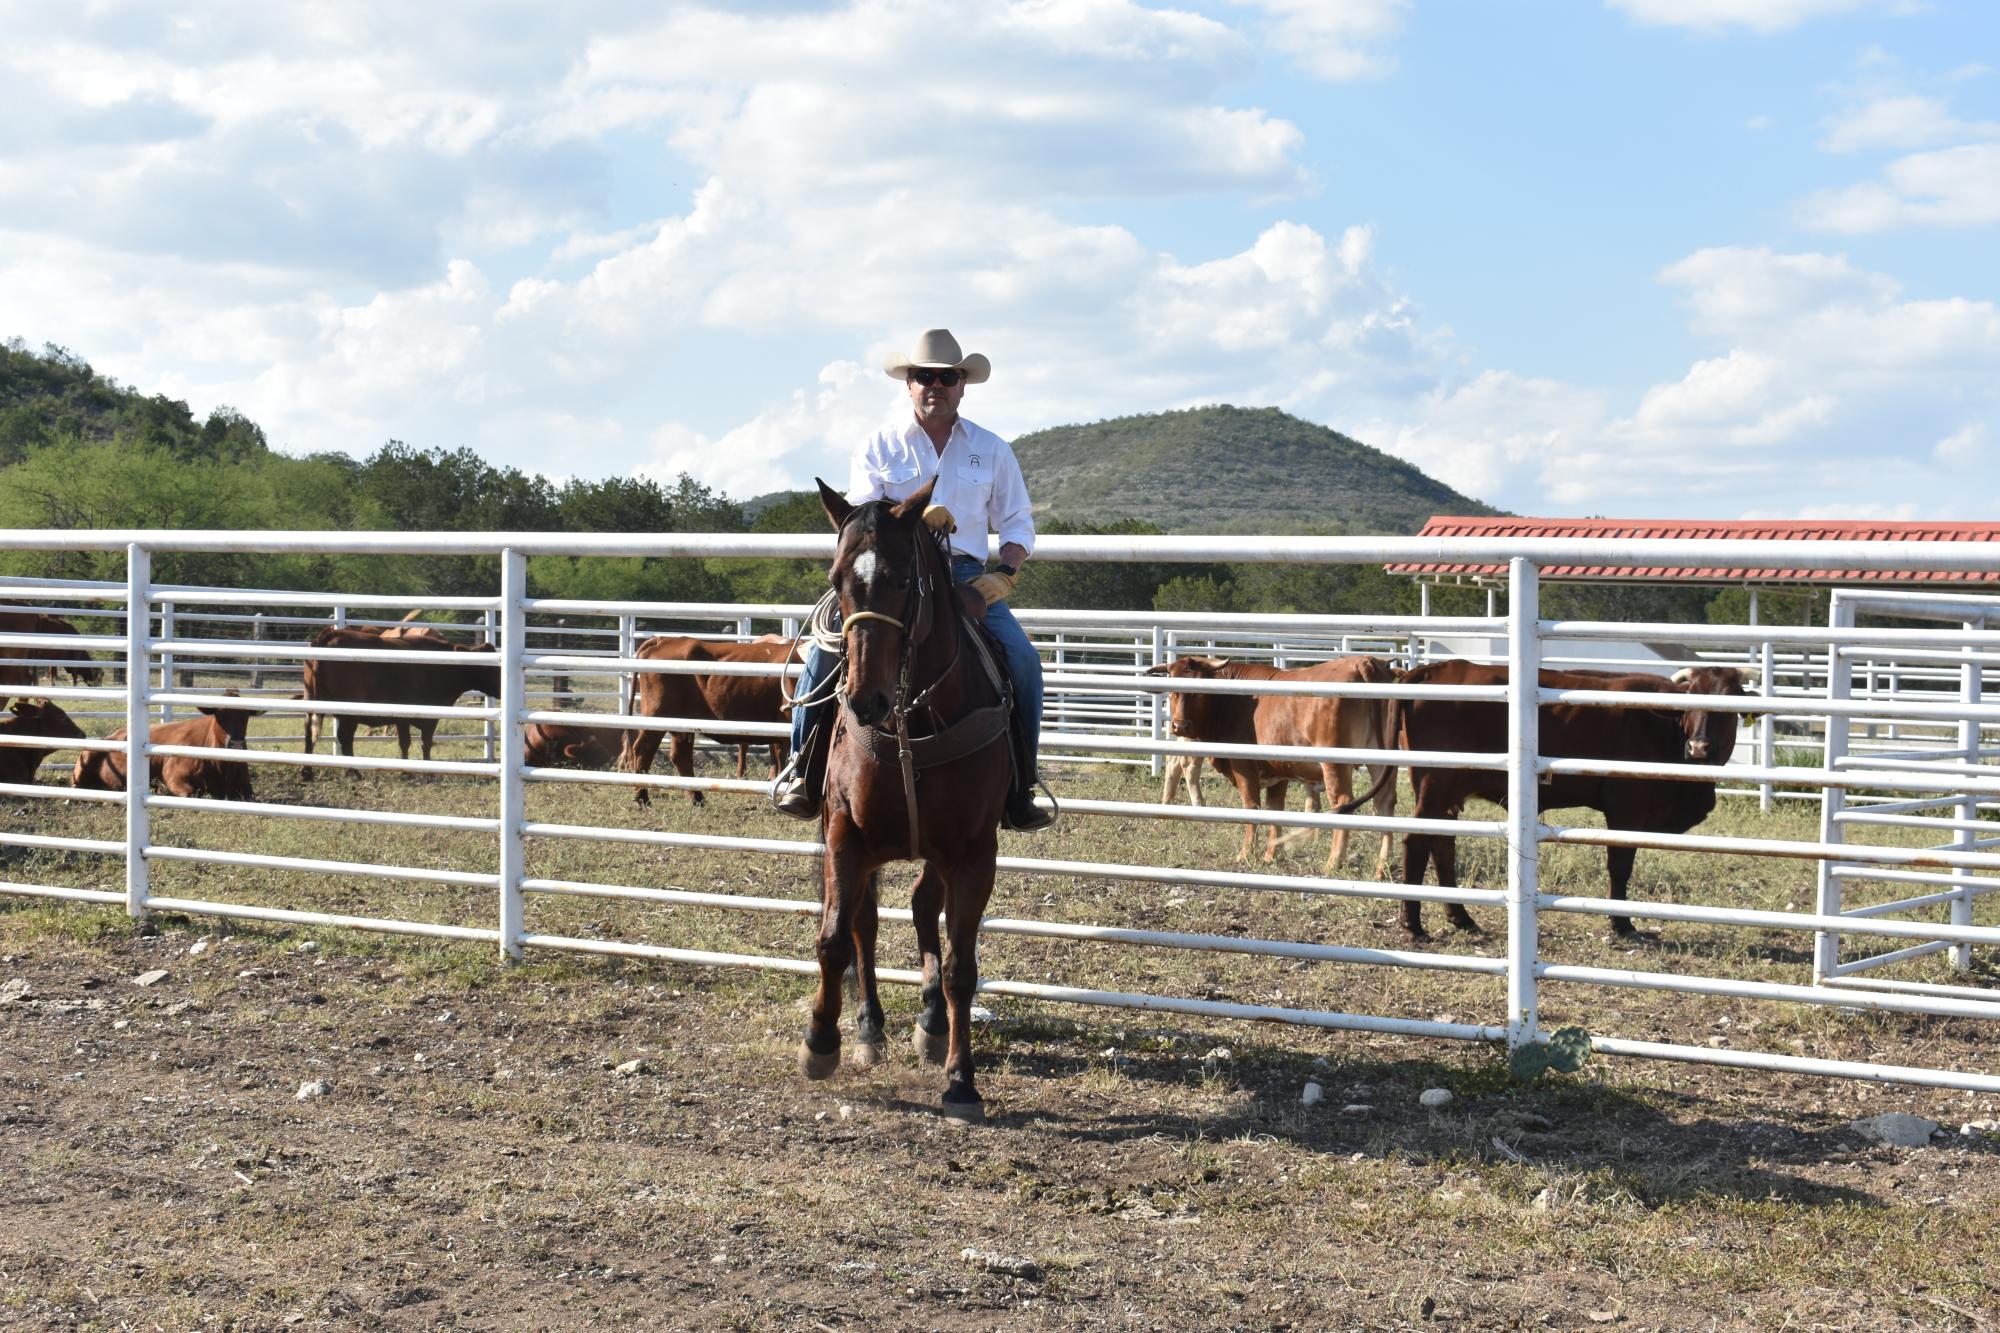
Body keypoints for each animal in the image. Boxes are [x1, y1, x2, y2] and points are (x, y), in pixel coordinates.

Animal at [298, 624, 498, 772]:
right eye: (492, 667)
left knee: (309, 732)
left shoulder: (402, 718)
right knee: (345, 737)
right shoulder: (429, 716)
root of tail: (331, 634)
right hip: (349, 711)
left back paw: (307, 771)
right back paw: (353, 772)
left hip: (313, 701)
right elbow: (425, 743)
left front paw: (405, 770)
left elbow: (405, 743)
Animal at [800, 478, 1016, 1120]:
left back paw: (931, 1024)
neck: (911, 723)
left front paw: (962, 1081)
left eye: (902, 579)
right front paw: (821, 1041)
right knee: (865, 924)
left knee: (922, 909)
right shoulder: (844, 834)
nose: (863, 699)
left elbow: (961, 968)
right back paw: (869, 1030)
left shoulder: (974, 852)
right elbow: (834, 940)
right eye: (836, 577)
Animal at [1152, 652, 1400, 876]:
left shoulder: (1244, 767)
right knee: (1384, 802)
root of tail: (1363, 662)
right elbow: (1275, 809)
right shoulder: (1278, 771)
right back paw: (1382, 867)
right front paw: (1272, 853)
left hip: (1334, 764)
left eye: (1199, 693)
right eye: (1172, 691)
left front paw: (1246, 853)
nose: (1180, 726)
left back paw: (1333, 862)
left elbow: (1251, 807)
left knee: (1343, 801)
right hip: (1381, 760)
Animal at [1352, 660, 1760, 940]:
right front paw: (1622, 924)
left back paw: (1462, 918)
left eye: (1729, 703)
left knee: (1443, 845)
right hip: (1436, 785)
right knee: (1417, 842)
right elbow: (1620, 866)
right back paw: (1413, 923)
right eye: (1689, 704)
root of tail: (1432, 669)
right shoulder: (1626, 808)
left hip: (1447, 793)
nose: (1699, 747)